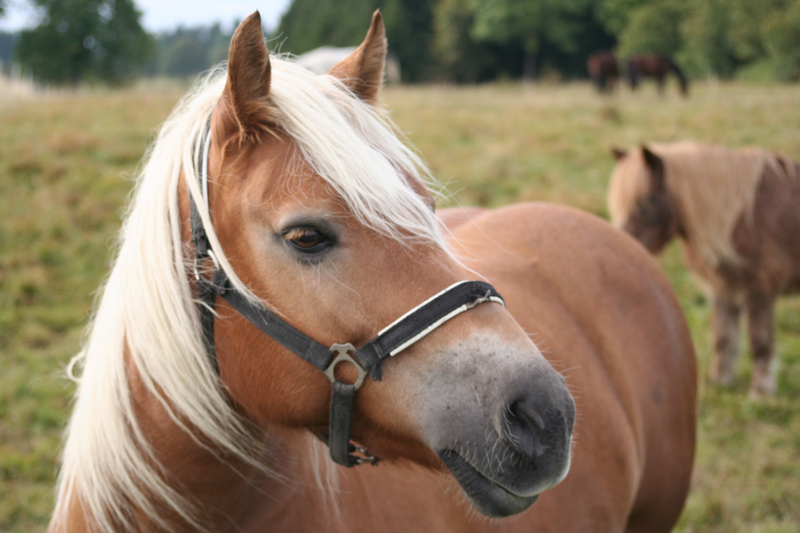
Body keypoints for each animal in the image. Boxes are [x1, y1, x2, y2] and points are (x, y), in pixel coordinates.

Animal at [608, 139, 796, 396]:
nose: (624, 243)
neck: (742, 217)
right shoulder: (724, 288)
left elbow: (760, 342)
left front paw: (760, 391)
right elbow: (724, 337)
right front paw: (721, 381)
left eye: (651, 200)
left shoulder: (758, 290)